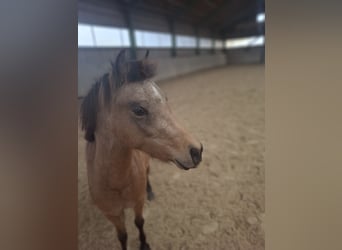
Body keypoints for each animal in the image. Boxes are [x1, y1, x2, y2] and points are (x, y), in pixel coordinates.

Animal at [80, 49, 203, 249]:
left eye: (165, 100)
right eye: (138, 109)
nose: (196, 151)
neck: (116, 183)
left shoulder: (138, 203)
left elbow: (139, 222)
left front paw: (144, 244)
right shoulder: (113, 215)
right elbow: (122, 236)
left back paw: (150, 191)